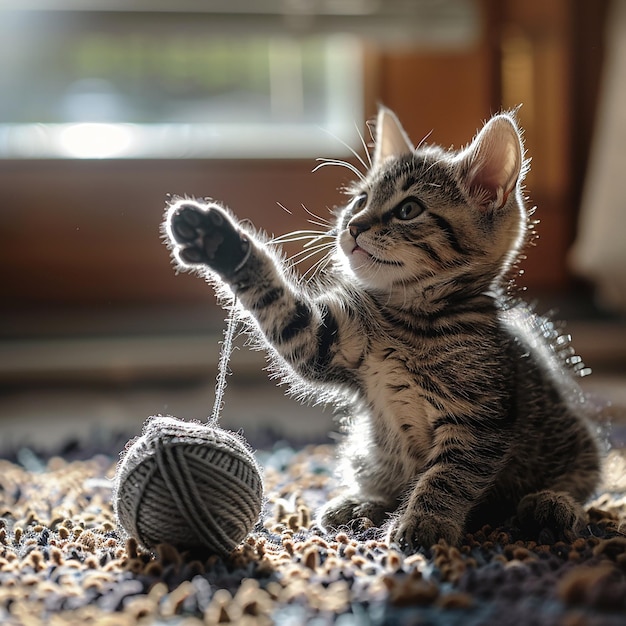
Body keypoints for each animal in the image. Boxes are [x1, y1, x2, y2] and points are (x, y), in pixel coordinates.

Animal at [162, 107, 600, 552]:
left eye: (408, 210)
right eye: (359, 200)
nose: (353, 225)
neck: (409, 321)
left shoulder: (481, 419)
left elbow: (450, 476)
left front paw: (425, 522)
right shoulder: (320, 342)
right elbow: (281, 308)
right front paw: (218, 242)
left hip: (573, 446)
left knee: (579, 487)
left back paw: (551, 504)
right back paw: (359, 505)